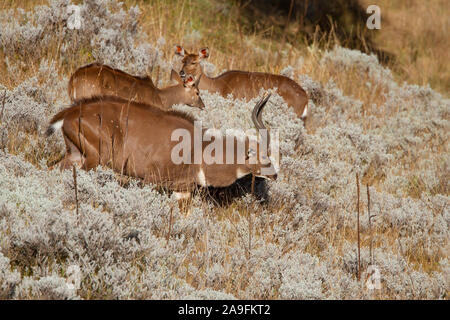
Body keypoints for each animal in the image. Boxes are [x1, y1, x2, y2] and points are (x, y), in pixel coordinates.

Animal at [46, 93, 278, 200]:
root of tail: (69, 114)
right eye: (259, 154)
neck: (199, 150)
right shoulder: (150, 179)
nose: (275, 175)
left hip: (75, 155)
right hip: (94, 160)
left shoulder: (182, 190)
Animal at [173, 46, 310, 119]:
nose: (182, 72)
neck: (218, 85)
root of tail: (305, 98)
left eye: (194, 62)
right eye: (183, 60)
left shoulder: (232, 103)